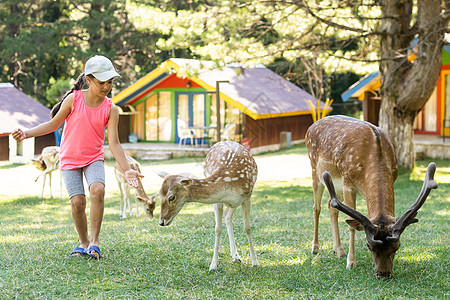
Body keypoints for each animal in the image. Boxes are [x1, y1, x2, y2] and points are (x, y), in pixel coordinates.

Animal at [157, 139, 258, 270]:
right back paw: (228, 253)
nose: (161, 222)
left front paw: (255, 262)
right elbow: (217, 229)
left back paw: (235, 255)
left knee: (228, 216)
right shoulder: (217, 201)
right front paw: (213, 264)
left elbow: (248, 228)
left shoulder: (247, 197)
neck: (229, 183)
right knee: (227, 216)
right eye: (159, 194)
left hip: (236, 202)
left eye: (171, 197)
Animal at [304, 115, 438, 278]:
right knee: (316, 207)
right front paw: (351, 263)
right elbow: (351, 225)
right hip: (315, 169)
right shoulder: (348, 183)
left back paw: (339, 250)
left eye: (397, 246)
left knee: (331, 205)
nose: (383, 274)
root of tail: (311, 126)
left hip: (336, 185)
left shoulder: (393, 177)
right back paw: (315, 248)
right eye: (368, 246)